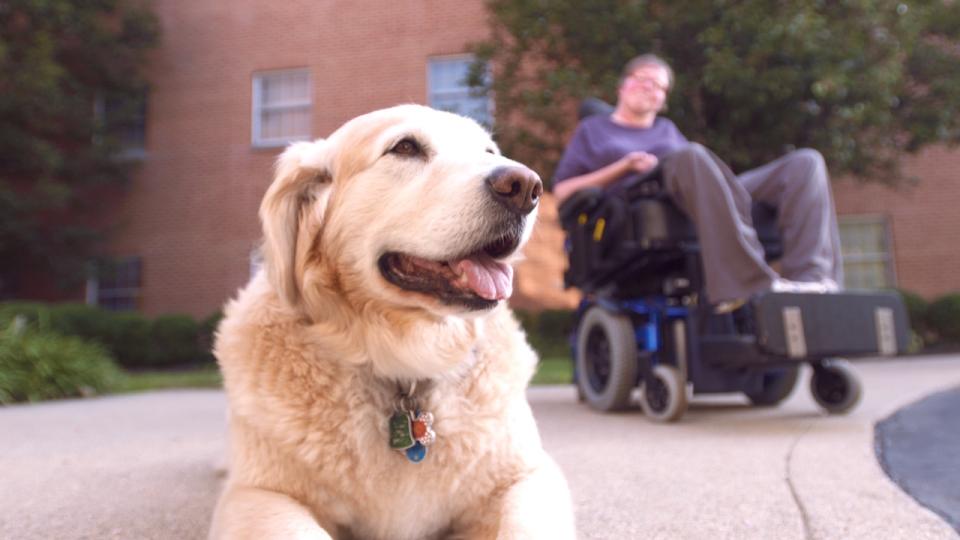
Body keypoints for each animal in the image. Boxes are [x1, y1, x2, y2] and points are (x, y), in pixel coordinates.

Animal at [210, 103, 572, 536]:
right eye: (405, 147)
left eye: (488, 151)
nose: (525, 186)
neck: (406, 366)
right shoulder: (257, 495)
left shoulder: (528, 475)